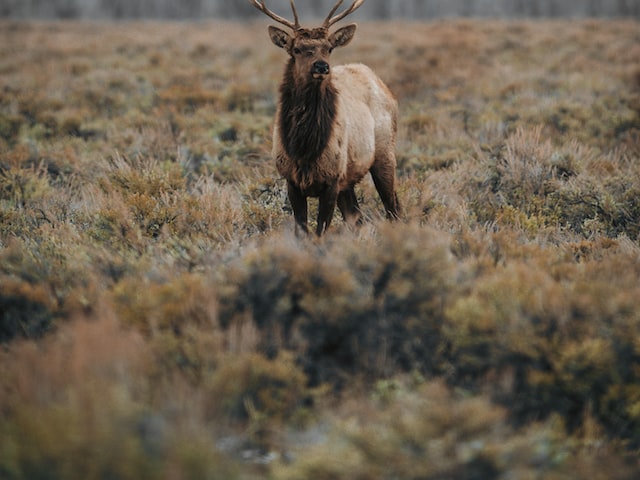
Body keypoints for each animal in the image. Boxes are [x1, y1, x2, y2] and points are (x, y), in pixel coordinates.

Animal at [250, 0, 400, 236]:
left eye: (329, 48)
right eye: (297, 49)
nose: (321, 66)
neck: (304, 149)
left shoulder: (331, 179)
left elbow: (320, 231)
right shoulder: (292, 180)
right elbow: (301, 231)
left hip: (385, 153)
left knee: (392, 208)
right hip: (349, 178)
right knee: (357, 217)